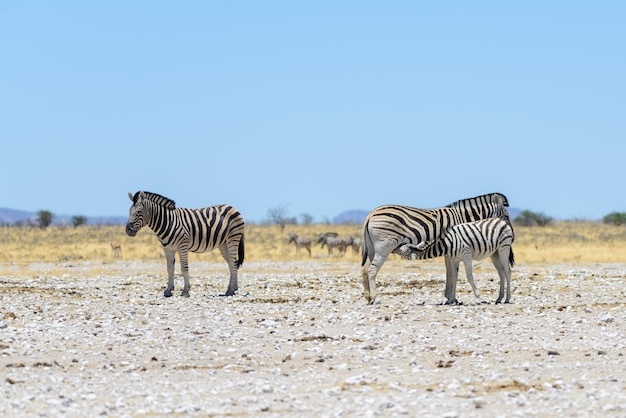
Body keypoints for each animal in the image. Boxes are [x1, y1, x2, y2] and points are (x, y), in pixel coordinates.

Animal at [358, 192, 510, 304]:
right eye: (506, 215)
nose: (510, 232)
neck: (462, 217)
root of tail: (371, 214)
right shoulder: (452, 246)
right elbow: (453, 273)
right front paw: (451, 298)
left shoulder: (449, 249)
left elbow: (449, 272)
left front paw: (449, 297)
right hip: (384, 247)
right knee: (372, 269)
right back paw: (376, 299)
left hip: (372, 248)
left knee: (365, 269)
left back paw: (368, 297)